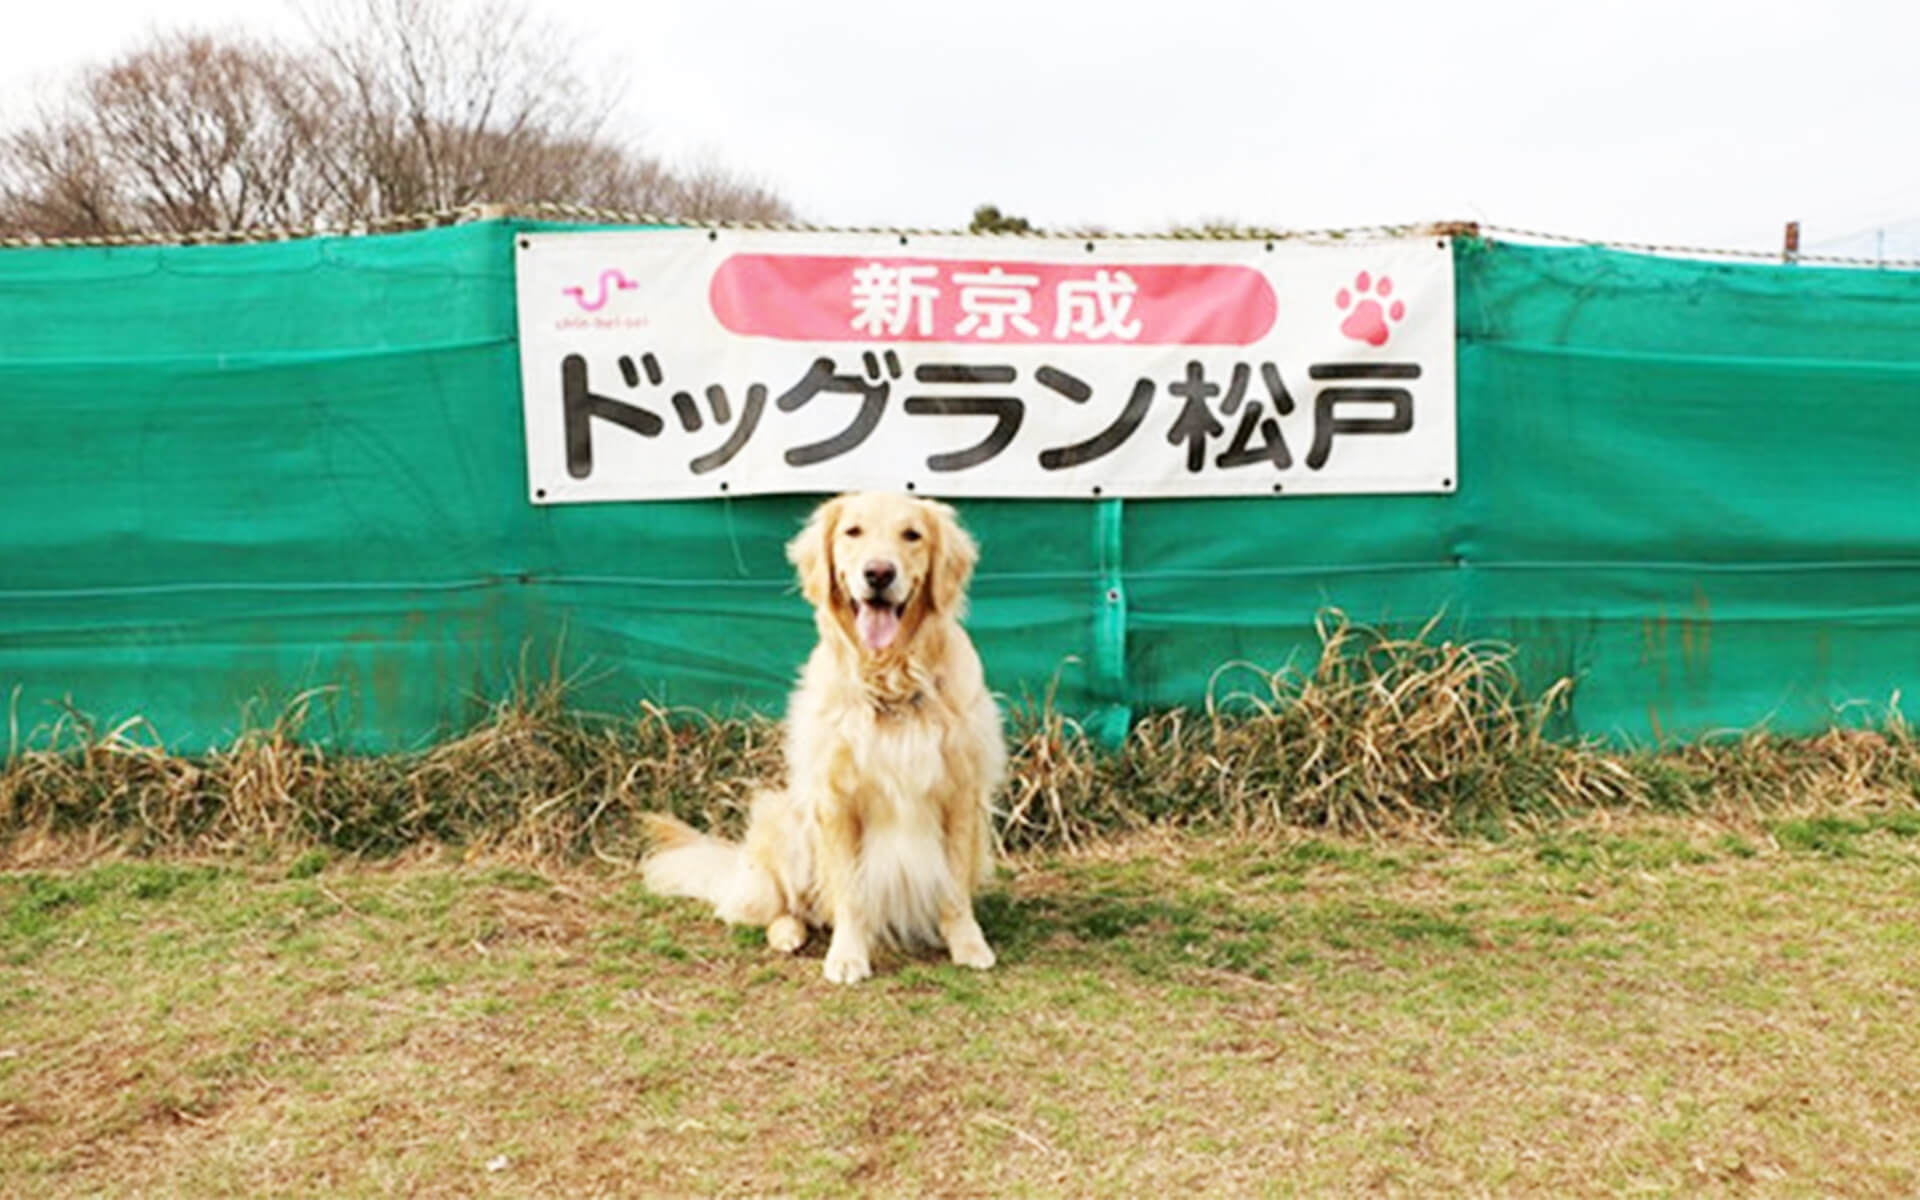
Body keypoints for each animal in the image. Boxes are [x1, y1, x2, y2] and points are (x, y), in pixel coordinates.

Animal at [641, 489, 1006, 983]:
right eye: (852, 532)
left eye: (912, 535)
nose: (878, 573)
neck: (891, 683)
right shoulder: (836, 800)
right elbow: (850, 892)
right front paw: (848, 956)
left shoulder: (961, 793)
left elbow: (952, 887)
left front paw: (967, 943)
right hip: (782, 819)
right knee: (782, 907)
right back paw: (788, 933)